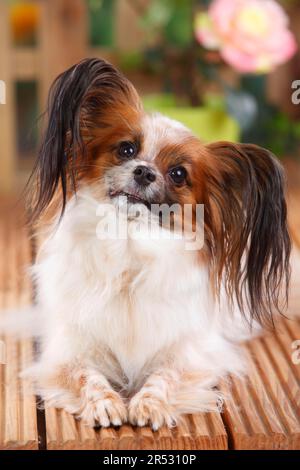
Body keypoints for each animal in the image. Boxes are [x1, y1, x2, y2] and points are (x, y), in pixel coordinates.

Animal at [19, 57, 290, 430]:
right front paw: (103, 402)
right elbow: (85, 374)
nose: (144, 171)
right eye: (126, 149)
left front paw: (149, 403)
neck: (130, 245)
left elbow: (165, 375)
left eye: (178, 174)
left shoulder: (190, 352)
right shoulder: (68, 350)